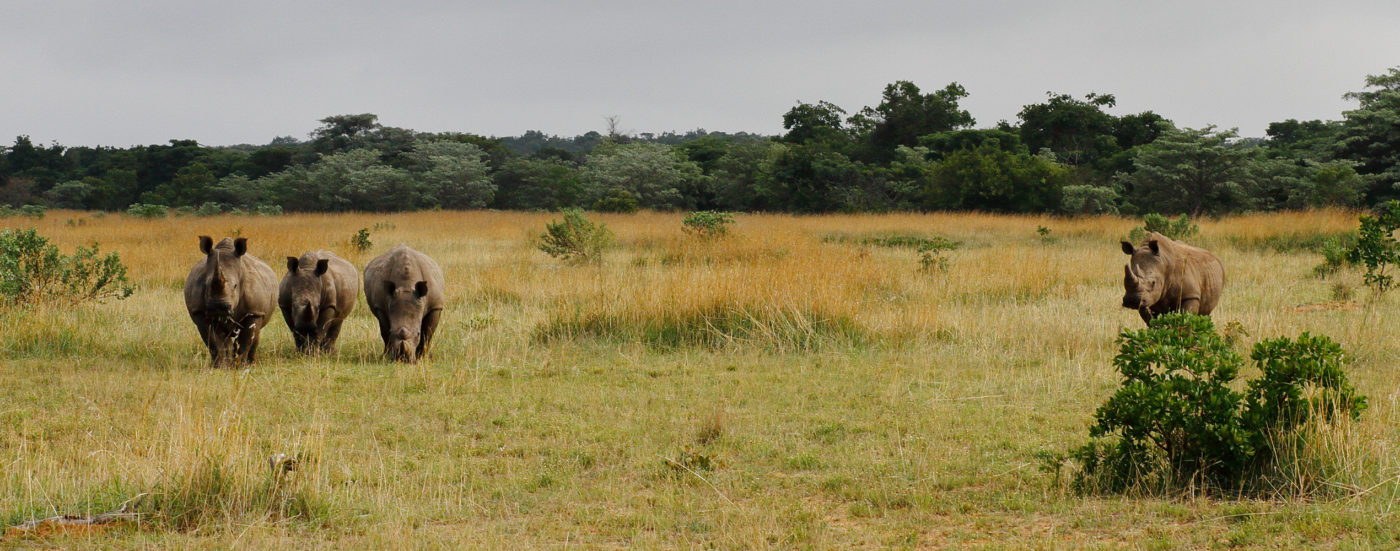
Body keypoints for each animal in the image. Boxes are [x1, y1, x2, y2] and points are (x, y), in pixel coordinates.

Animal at [184, 236, 278, 367]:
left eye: (235, 286)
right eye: (206, 285)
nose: (218, 307)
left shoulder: (254, 311)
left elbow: (245, 341)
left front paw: (241, 366)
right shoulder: (200, 312)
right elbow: (215, 342)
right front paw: (221, 367)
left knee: (256, 334)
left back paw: (251, 363)